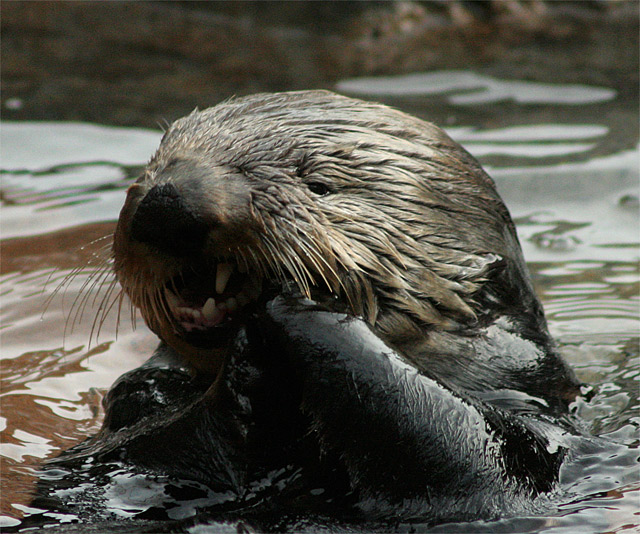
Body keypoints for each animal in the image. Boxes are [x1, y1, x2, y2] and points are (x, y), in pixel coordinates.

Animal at [26, 90, 584, 532]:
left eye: (319, 185)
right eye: (158, 160)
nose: (168, 202)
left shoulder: (534, 419)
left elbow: (475, 455)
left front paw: (285, 307)